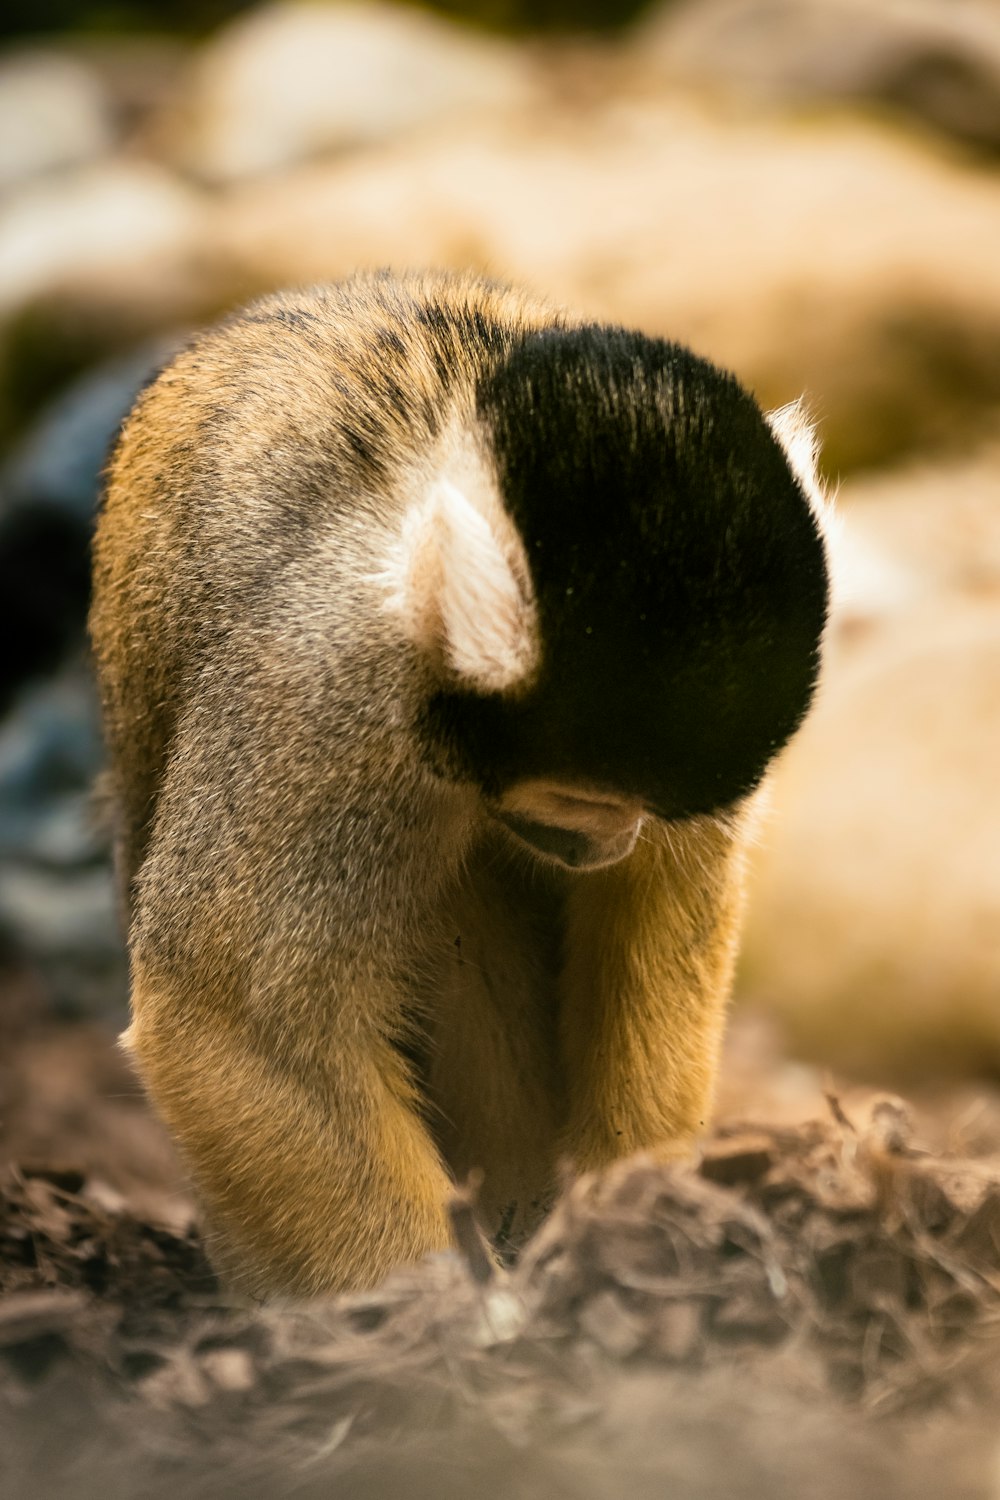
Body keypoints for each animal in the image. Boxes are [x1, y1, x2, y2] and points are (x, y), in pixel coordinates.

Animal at [89, 270, 833, 1302]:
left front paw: (630, 1221)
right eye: (584, 803)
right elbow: (229, 1019)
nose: (614, 838)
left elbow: (664, 915)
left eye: (641, 811)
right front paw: (443, 1326)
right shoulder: (330, 682)